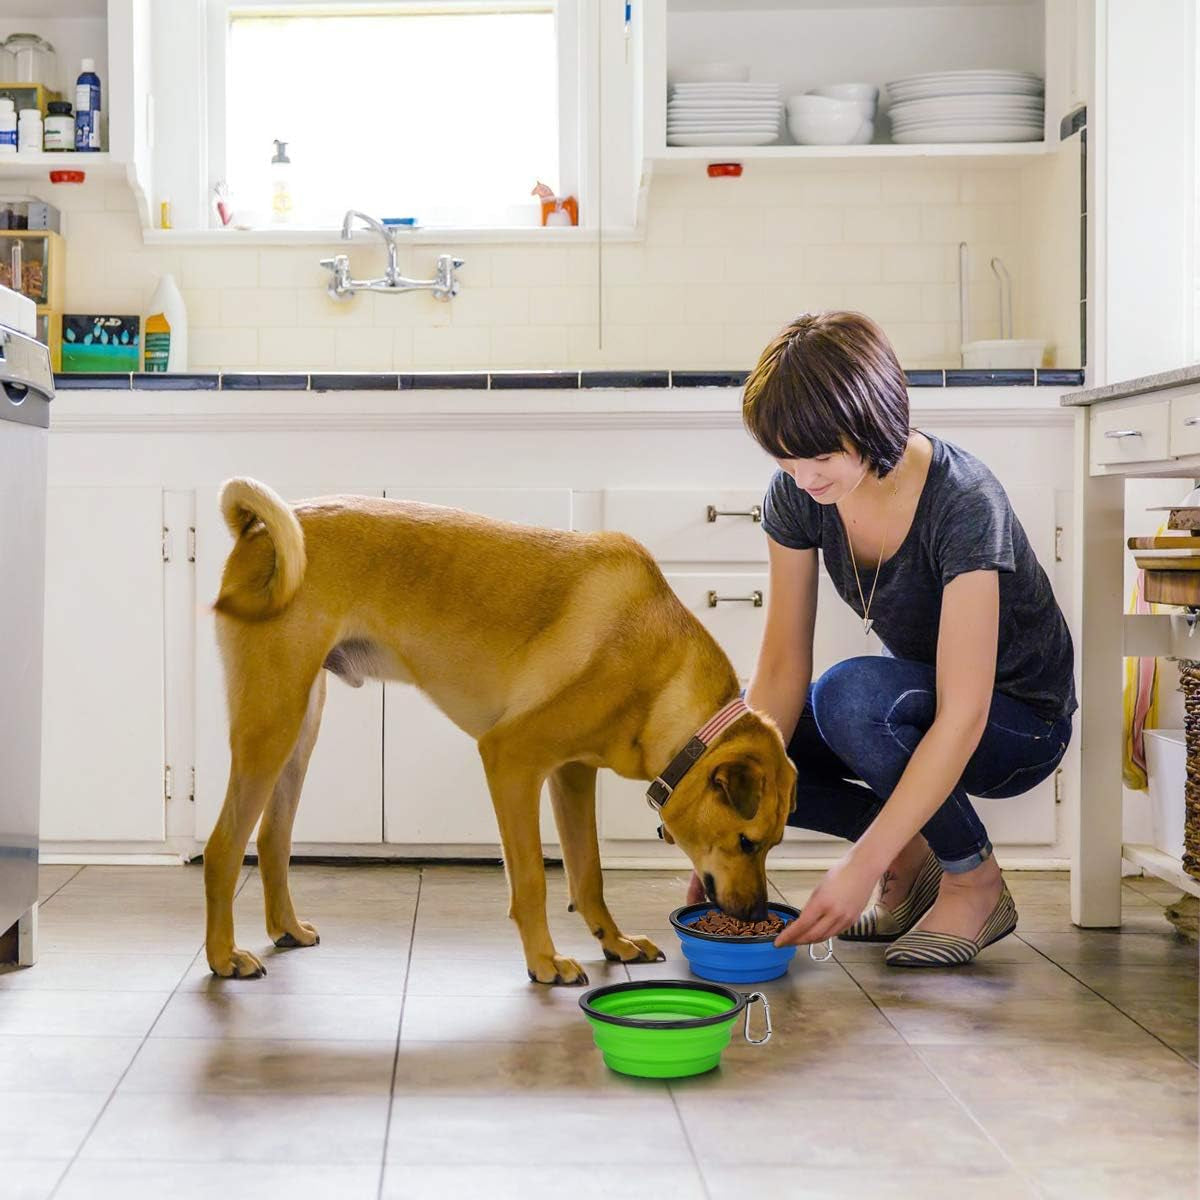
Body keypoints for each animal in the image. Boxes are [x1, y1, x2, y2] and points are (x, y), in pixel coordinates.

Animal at [204, 477, 796, 984]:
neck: (660, 675)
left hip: (300, 728)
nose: (755, 916)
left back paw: (286, 929)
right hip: (270, 724)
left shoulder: (572, 776)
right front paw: (546, 962)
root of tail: (259, 530)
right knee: (224, 846)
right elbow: (532, 877)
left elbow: (588, 871)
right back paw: (224, 956)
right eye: (746, 841)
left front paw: (615, 942)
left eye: (773, 844)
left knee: (272, 837)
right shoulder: (511, 760)